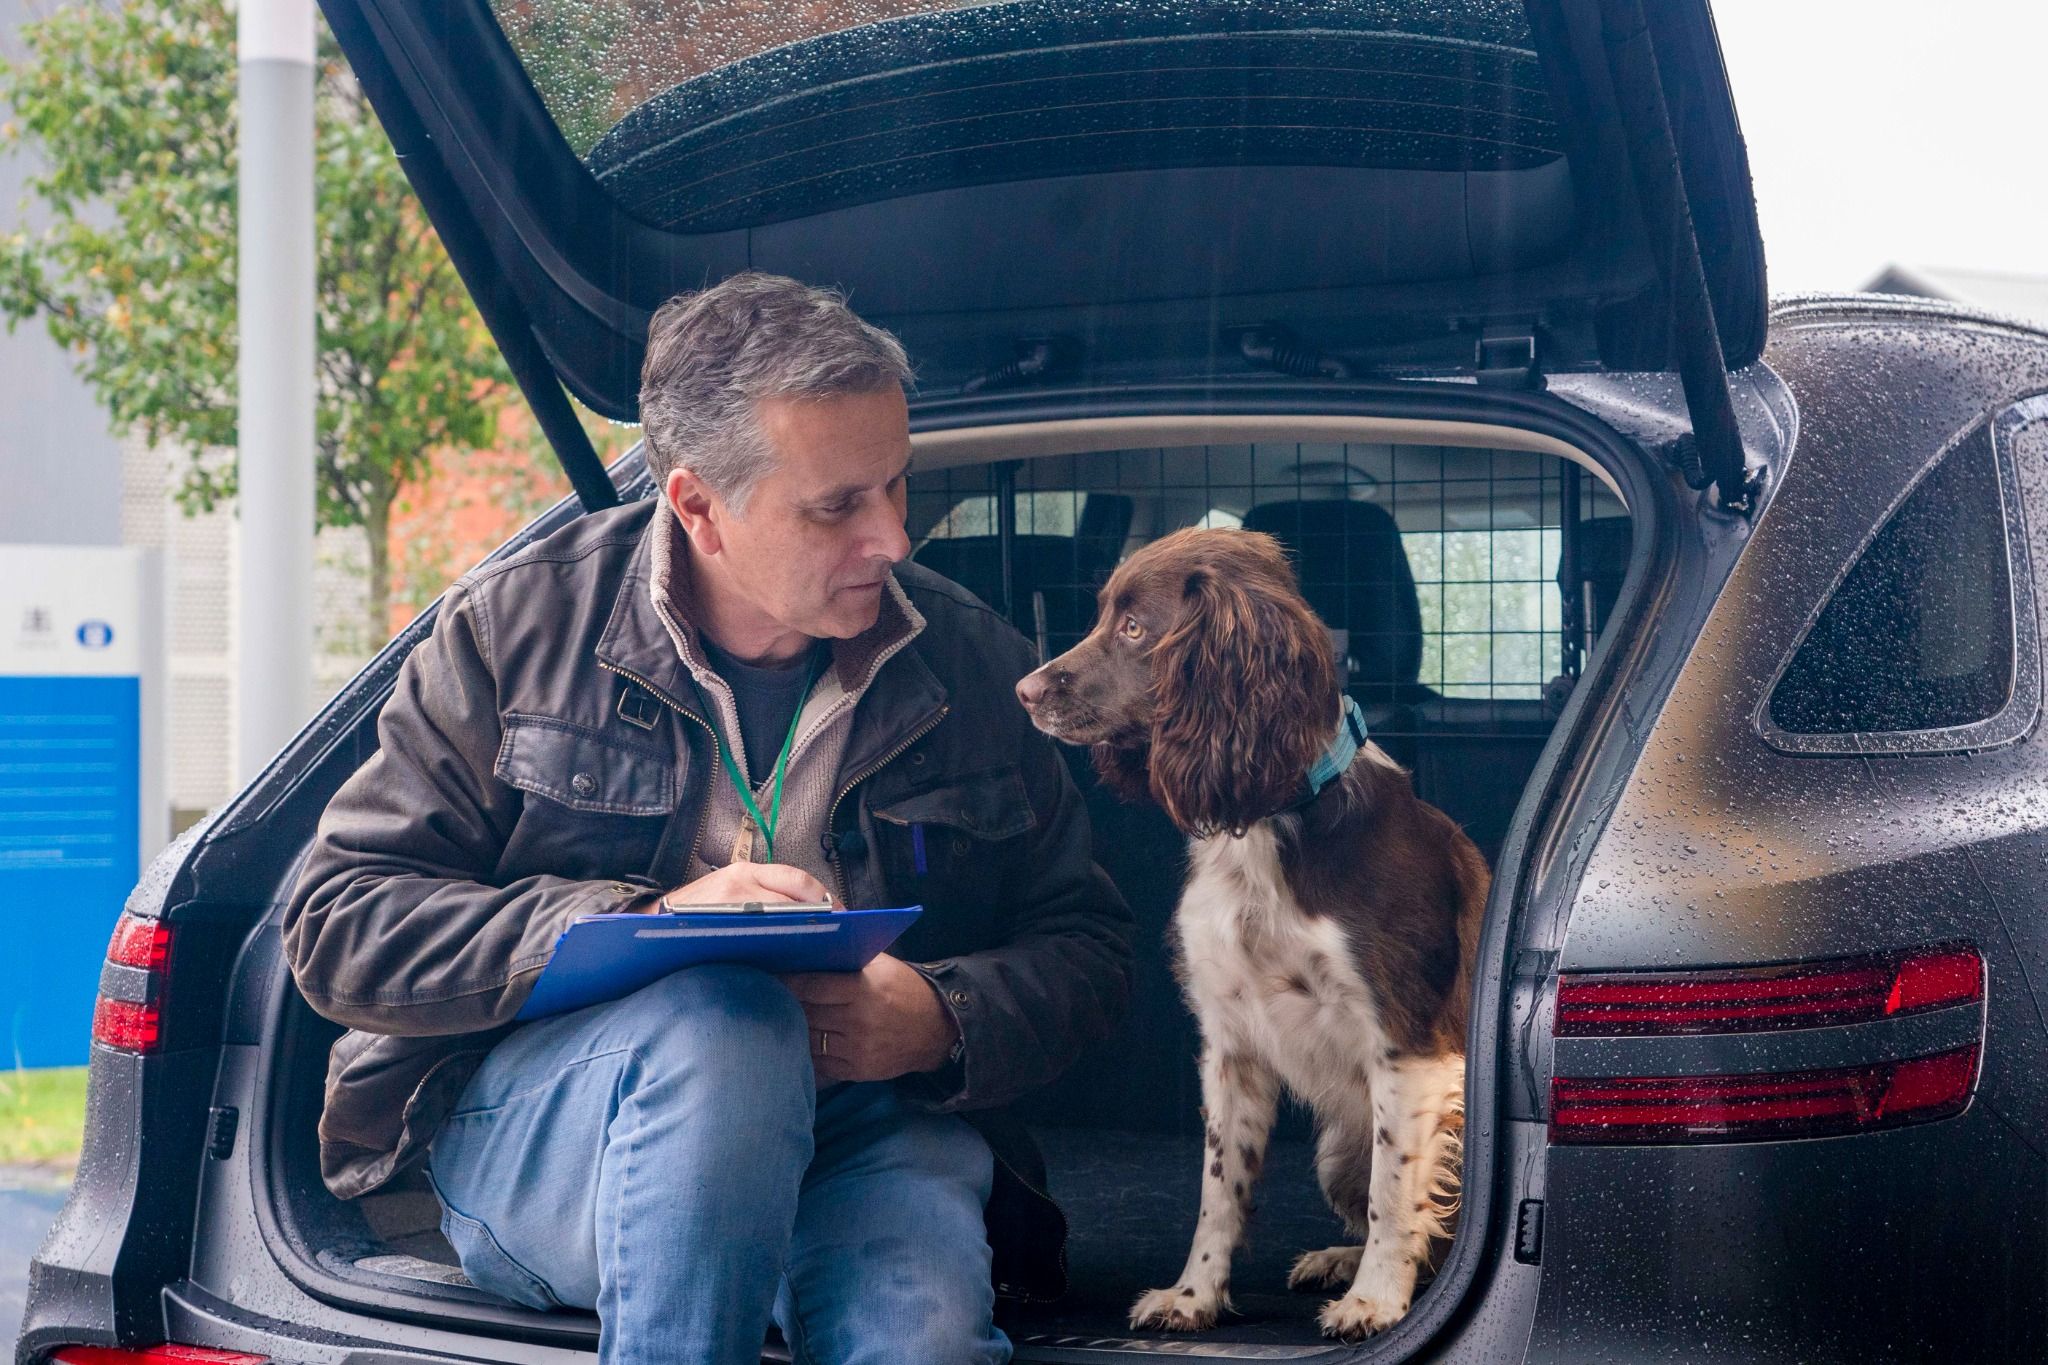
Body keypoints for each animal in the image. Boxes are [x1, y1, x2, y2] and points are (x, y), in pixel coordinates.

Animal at [1011, 527, 1482, 1342]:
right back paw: (1335, 1257)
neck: (1267, 820)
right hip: (1336, 1148)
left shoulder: (1408, 1043)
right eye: (1103, 614)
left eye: (1133, 628)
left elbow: (1396, 1193)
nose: (1026, 689)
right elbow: (1218, 1190)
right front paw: (1193, 1296)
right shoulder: (1230, 1042)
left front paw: (1375, 1300)